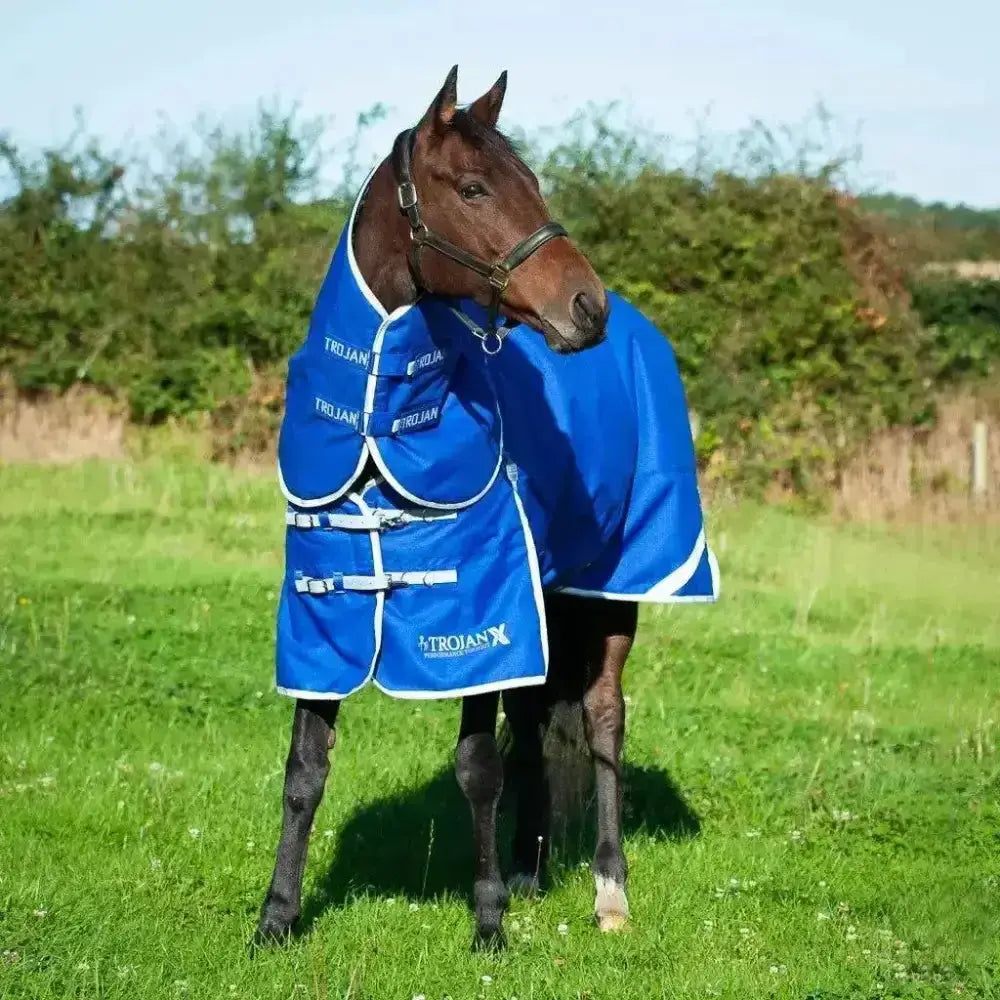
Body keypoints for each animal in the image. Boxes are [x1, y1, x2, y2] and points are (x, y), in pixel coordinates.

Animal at [256, 66, 717, 950]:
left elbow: (476, 768)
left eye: (533, 182)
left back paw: (608, 891)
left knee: (603, 718)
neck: (381, 422)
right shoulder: (323, 613)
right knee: (536, 725)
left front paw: (488, 923)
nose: (587, 307)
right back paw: (534, 868)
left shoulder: (477, 611)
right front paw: (276, 918)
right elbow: (305, 771)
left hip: (613, 592)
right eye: (473, 187)